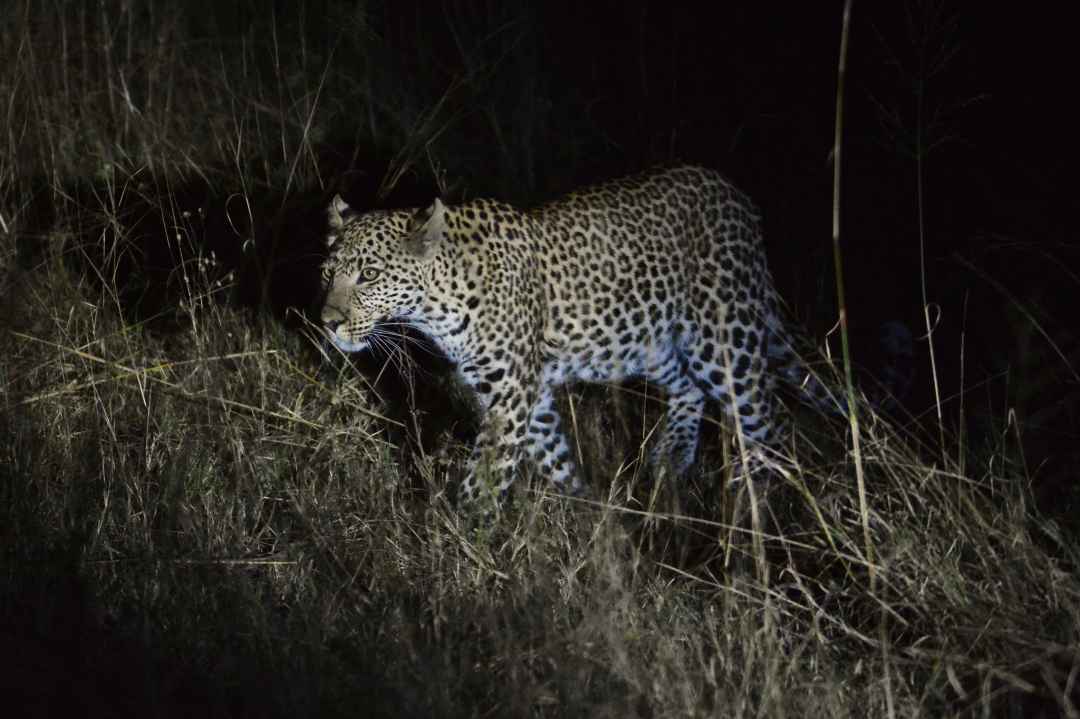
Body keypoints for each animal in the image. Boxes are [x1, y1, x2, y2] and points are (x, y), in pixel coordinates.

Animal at [319, 166, 851, 503]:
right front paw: (588, 510)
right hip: (649, 339)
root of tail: (740, 200)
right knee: (689, 389)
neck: (438, 303)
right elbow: (553, 457)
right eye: (328, 272)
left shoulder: (512, 396)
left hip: (724, 340)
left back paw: (754, 504)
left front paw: (460, 543)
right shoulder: (523, 396)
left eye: (369, 275)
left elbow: (485, 480)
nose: (328, 321)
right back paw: (671, 460)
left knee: (769, 421)